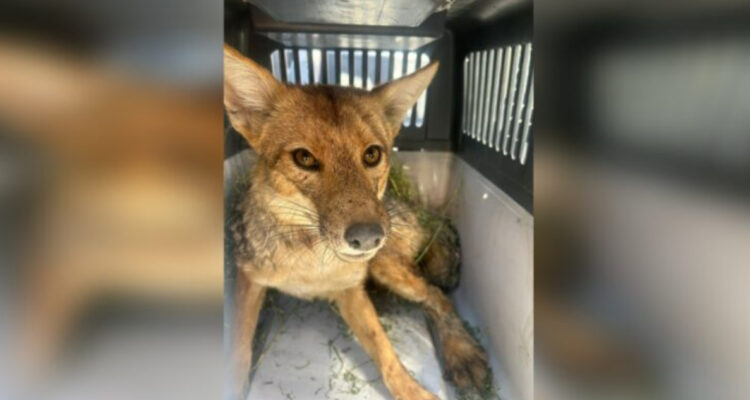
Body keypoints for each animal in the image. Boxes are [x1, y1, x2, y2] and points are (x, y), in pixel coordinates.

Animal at [224, 44, 489, 400]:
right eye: (304, 158)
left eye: (372, 155)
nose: (368, 238)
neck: (312, 264)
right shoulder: (249, 279)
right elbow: (240, 346)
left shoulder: (351, 291)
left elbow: (387, 353)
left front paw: (413, 391)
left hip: (387, 267)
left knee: (436, 295)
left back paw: (463, 354)